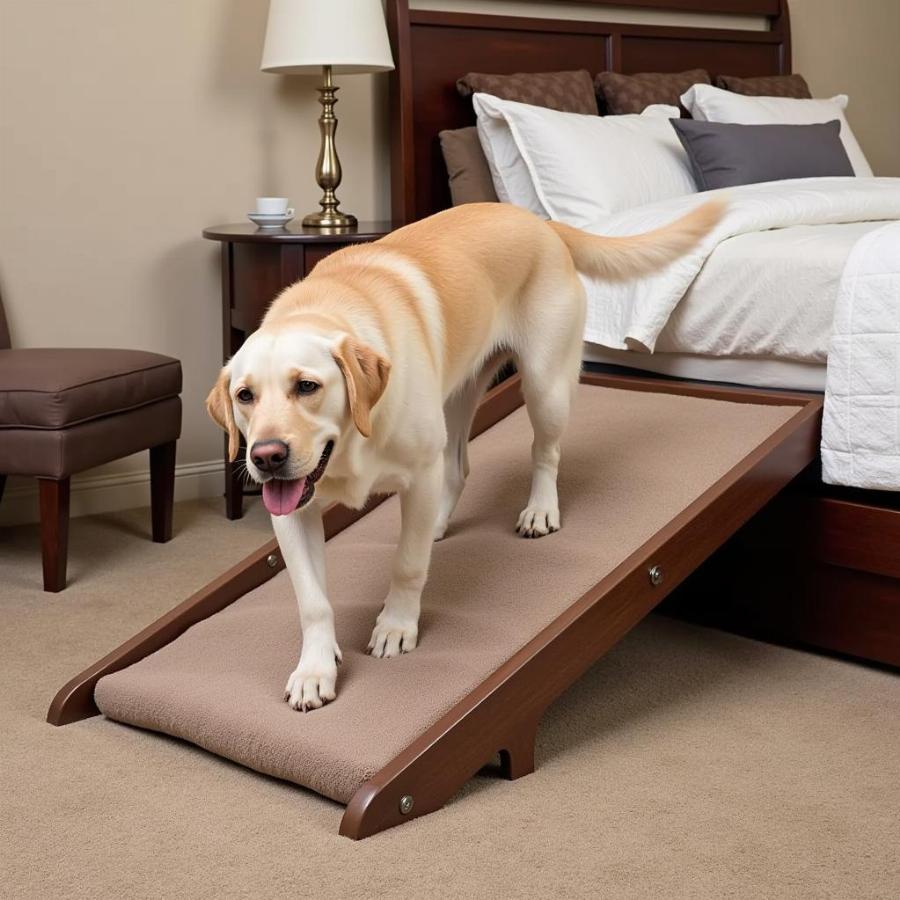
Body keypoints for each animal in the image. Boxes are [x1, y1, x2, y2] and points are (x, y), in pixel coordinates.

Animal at [207, 199, 720, 712]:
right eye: (245, 396)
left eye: (307, 386)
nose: (266, 457)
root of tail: (539, 222)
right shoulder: (293, 513)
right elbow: (312, 600)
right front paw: (314, 669)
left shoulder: (417, 473)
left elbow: (407, 565)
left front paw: (396, 626)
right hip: (454, 398)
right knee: (456, 468)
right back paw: (435, 521)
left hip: (544, 386)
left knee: (545, 452)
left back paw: (540, 509)